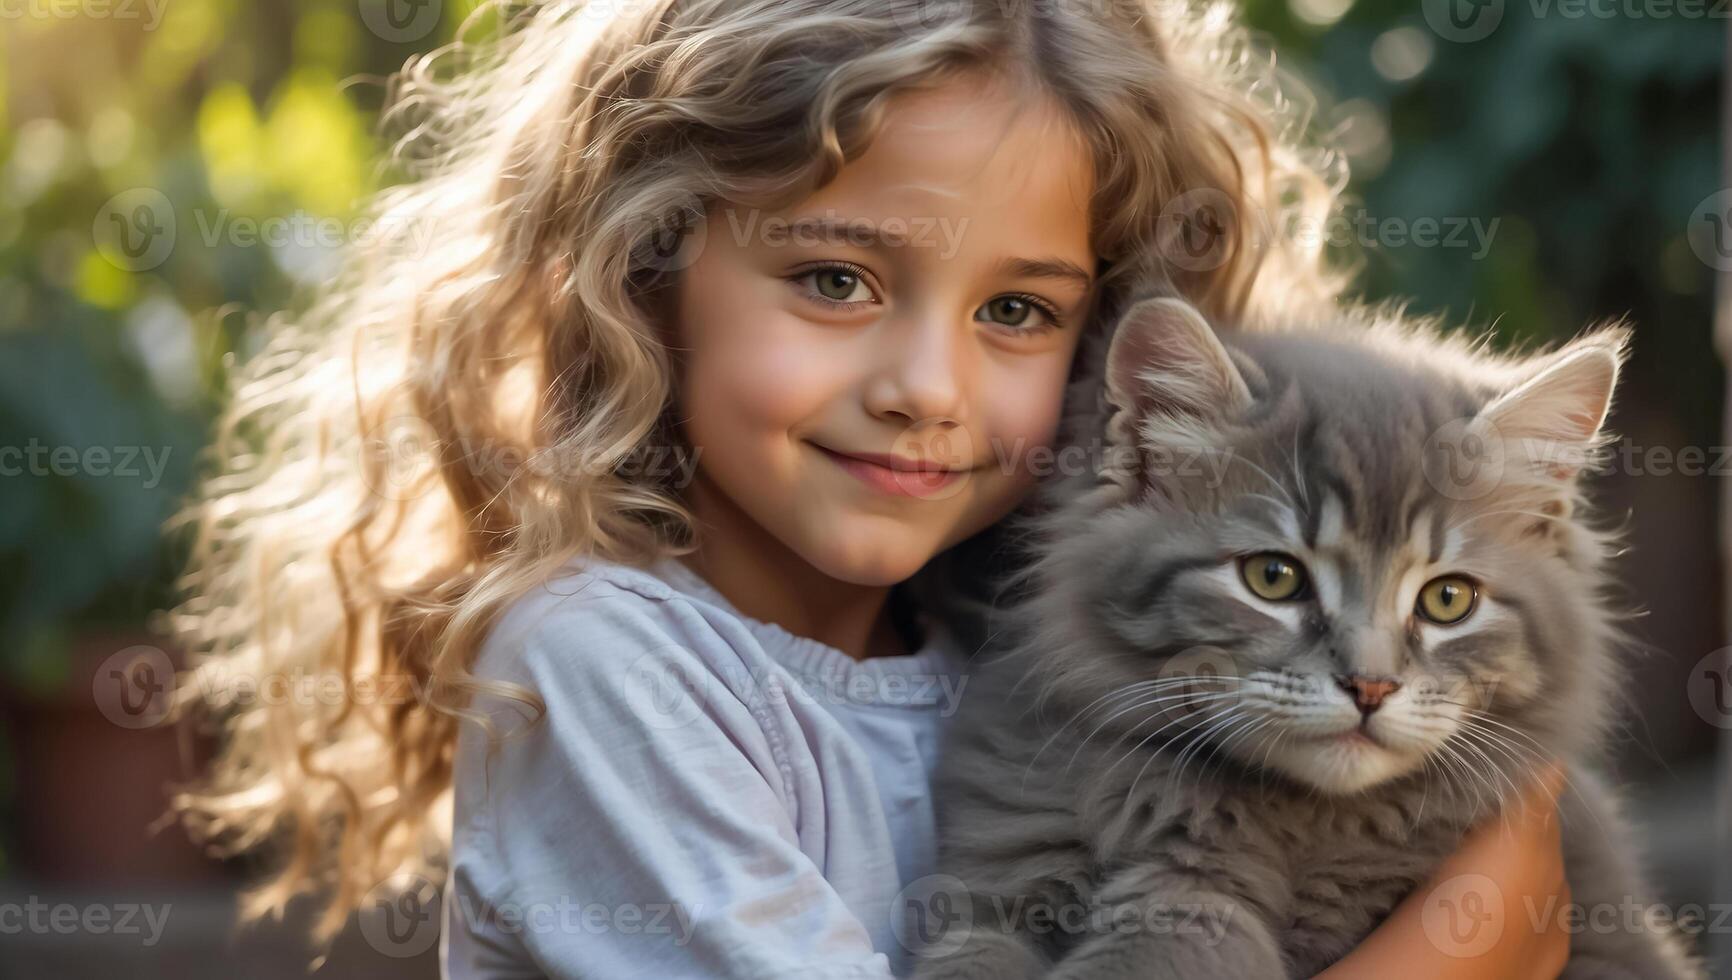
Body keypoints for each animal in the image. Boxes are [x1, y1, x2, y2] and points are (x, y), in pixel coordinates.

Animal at [914, 299, 1697, 980]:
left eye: (1448, 599)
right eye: (1273, 578)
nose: (1370, 685)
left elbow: (1177, 927)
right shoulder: (993, 878)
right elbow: (974, 952)